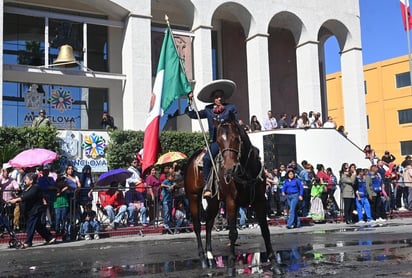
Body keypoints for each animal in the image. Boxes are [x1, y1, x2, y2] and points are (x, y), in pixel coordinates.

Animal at [184, 113, 278, 276]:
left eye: (236, 138)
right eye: (219, 141)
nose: (229, 168)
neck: (246, 173)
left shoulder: (260, 201)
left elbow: (265, 231)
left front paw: (274, 263)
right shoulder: (231, 202)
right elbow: (233, 232)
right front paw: (231, 265)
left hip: (214, 201)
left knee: (209, 223)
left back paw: (210, 255)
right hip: (193, 197)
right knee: (197, 225)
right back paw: (203, 257)